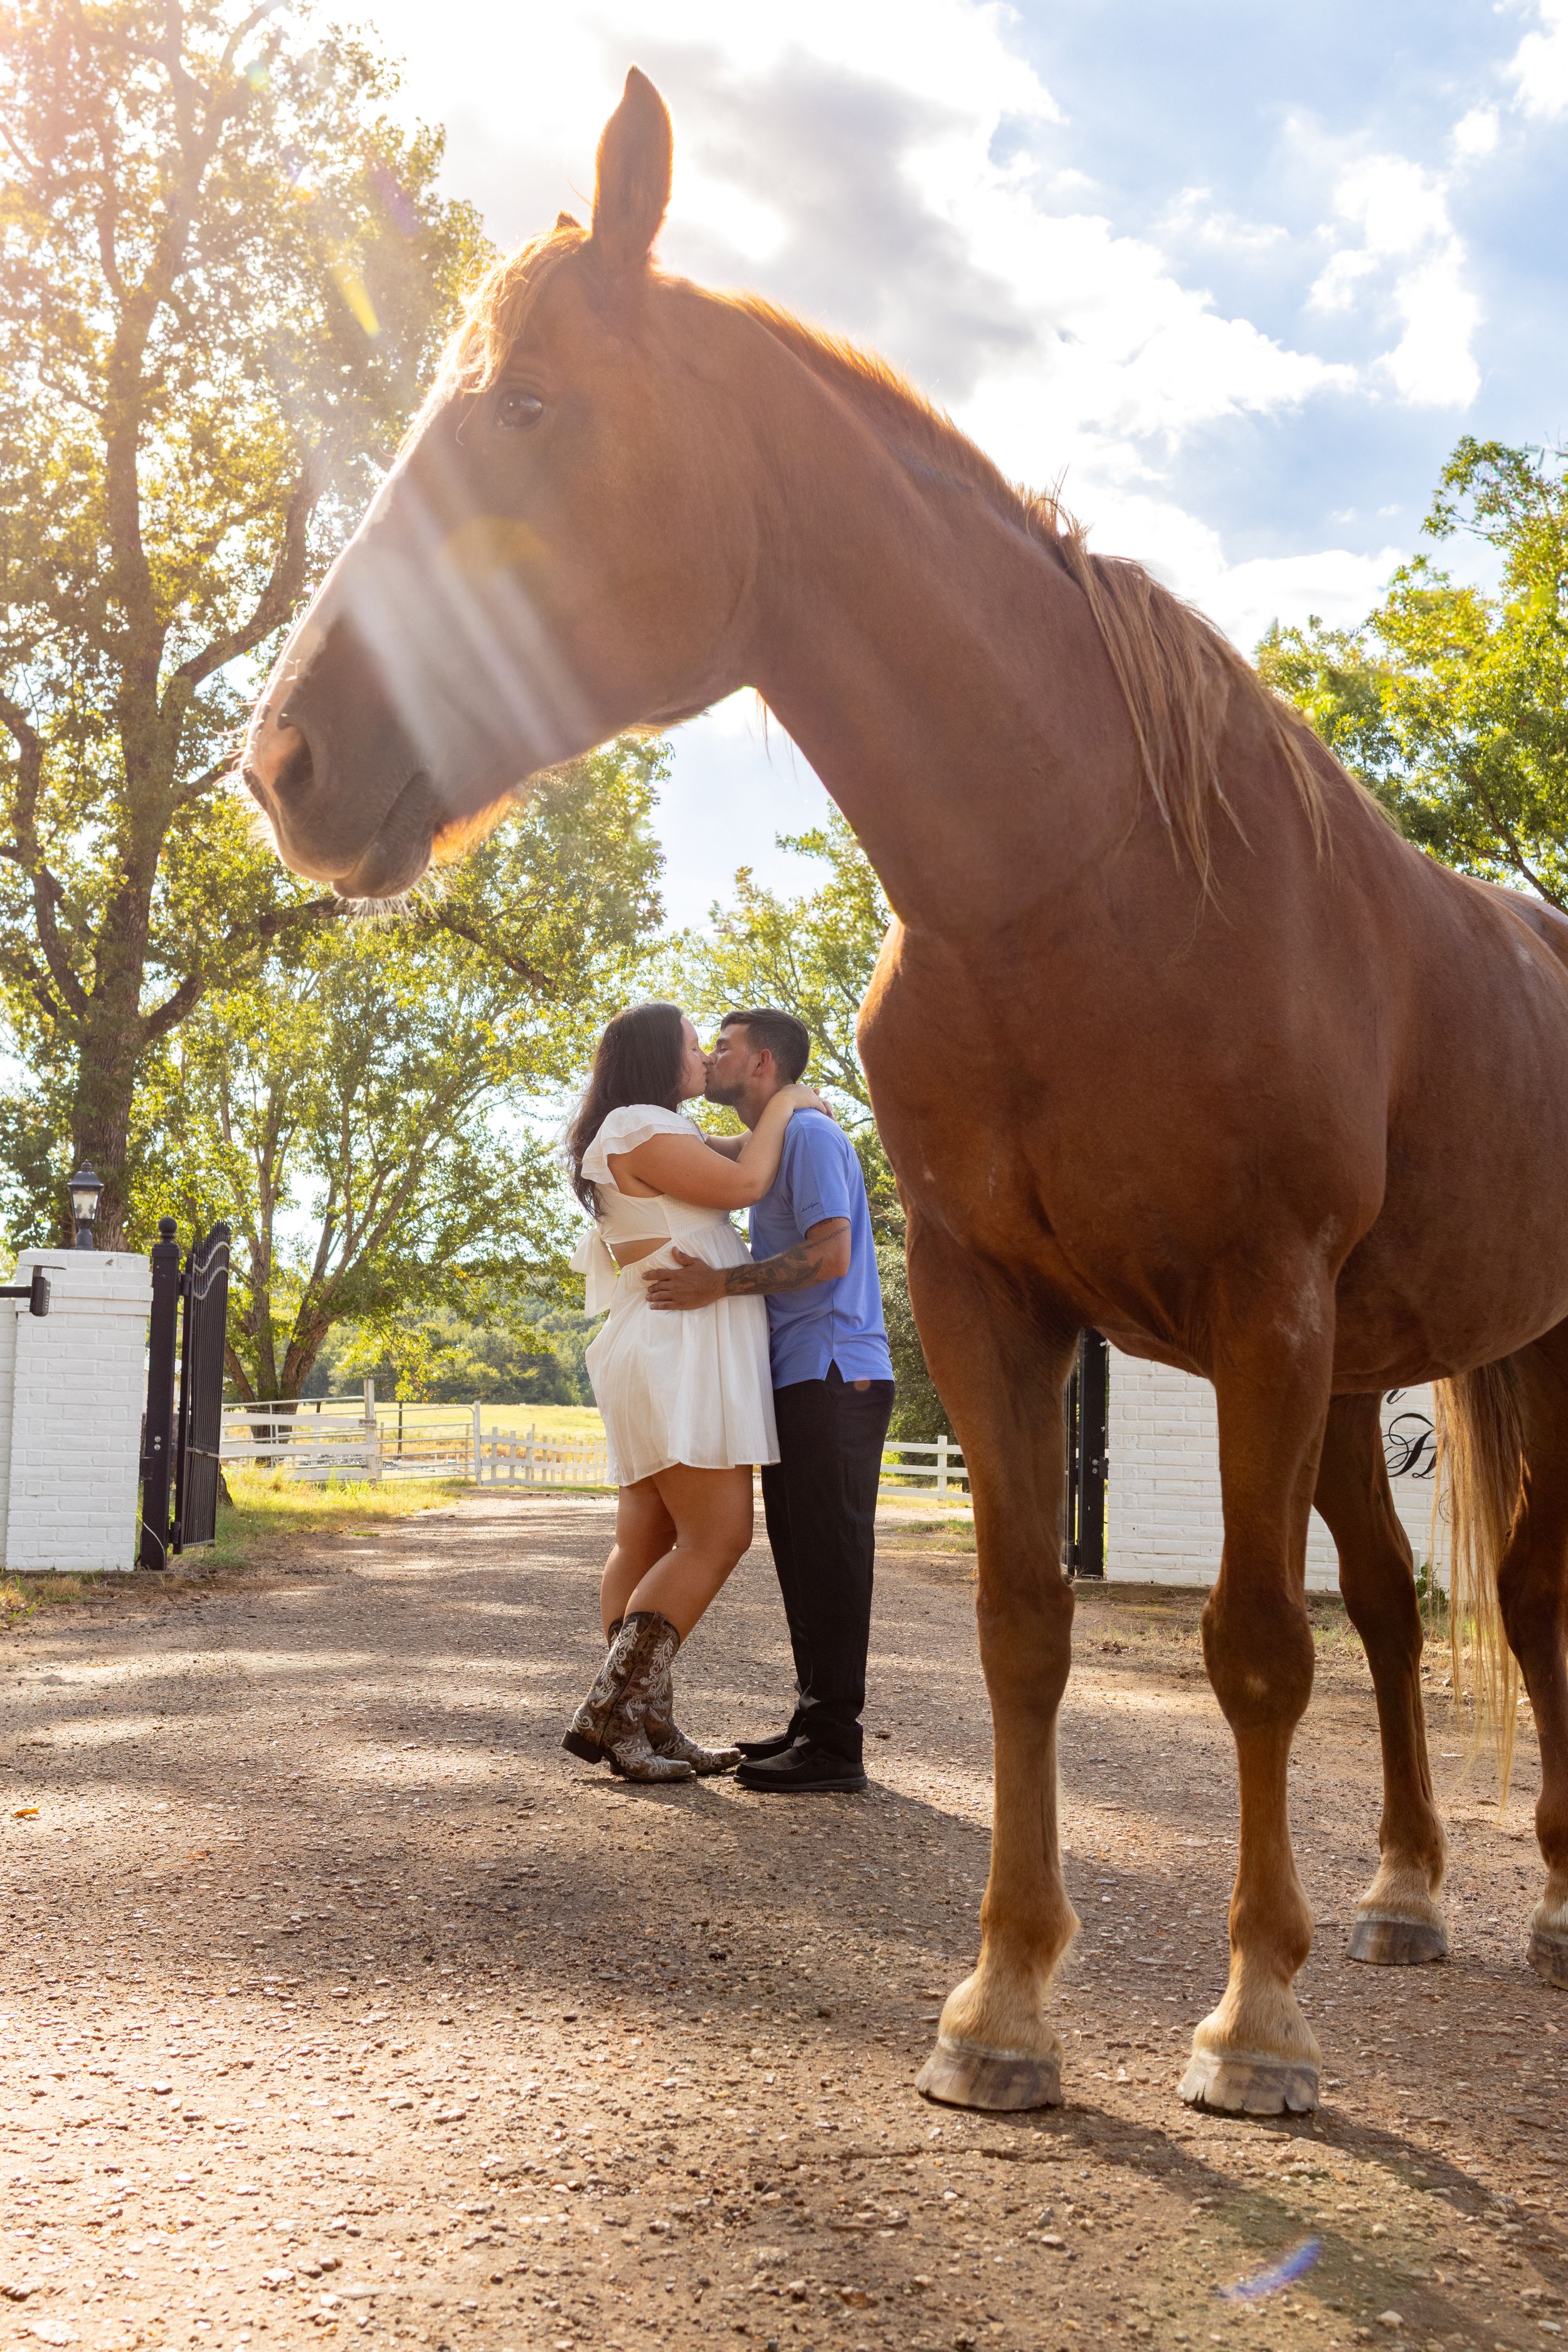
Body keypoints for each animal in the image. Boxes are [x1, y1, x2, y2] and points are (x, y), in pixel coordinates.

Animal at [242, 68, 1568, 2118]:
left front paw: (1251, 2022)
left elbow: (1251, 1649)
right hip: (1365, 1376)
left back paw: (1539, 1911)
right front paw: (1003, 2005)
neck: (1089, 886)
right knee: (1392, 1603)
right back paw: (1405, 1893)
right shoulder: (995, 1298)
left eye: (526, 406)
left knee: (1515, 1599)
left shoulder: (1262, 1307)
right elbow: (1027, 1628)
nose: (285, 757)